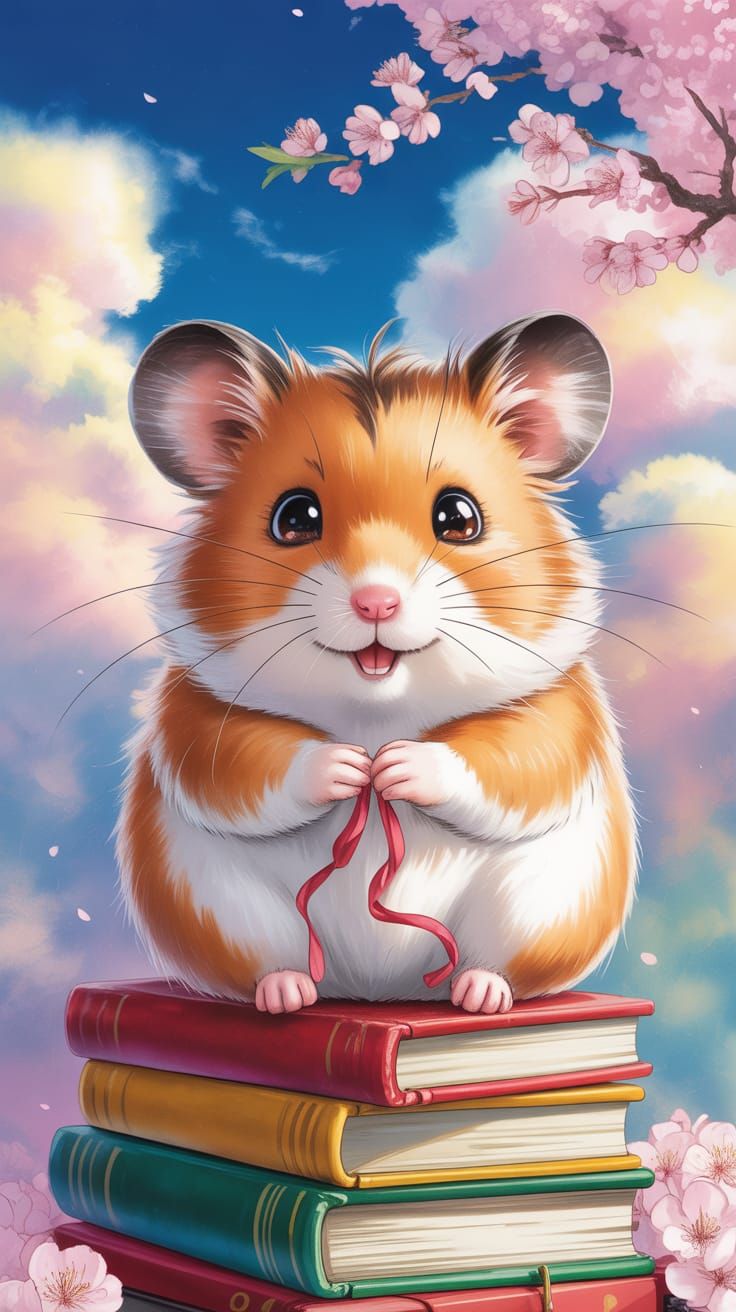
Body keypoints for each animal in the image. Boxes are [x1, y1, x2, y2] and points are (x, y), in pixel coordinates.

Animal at [116, 312, 636, 1015]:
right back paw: (286, 994)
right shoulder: (197, 720)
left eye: (459, 517)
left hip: (542, 904)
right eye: (295, 516)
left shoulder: (557, 715)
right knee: (268, 963)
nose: (376, 601)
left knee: (499, 962)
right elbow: (250, 764)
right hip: (217, 906)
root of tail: (378, 991)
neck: (374, 713)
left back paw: (479, 995)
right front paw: (351, 769)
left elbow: (508, 761)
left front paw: (392, 768)